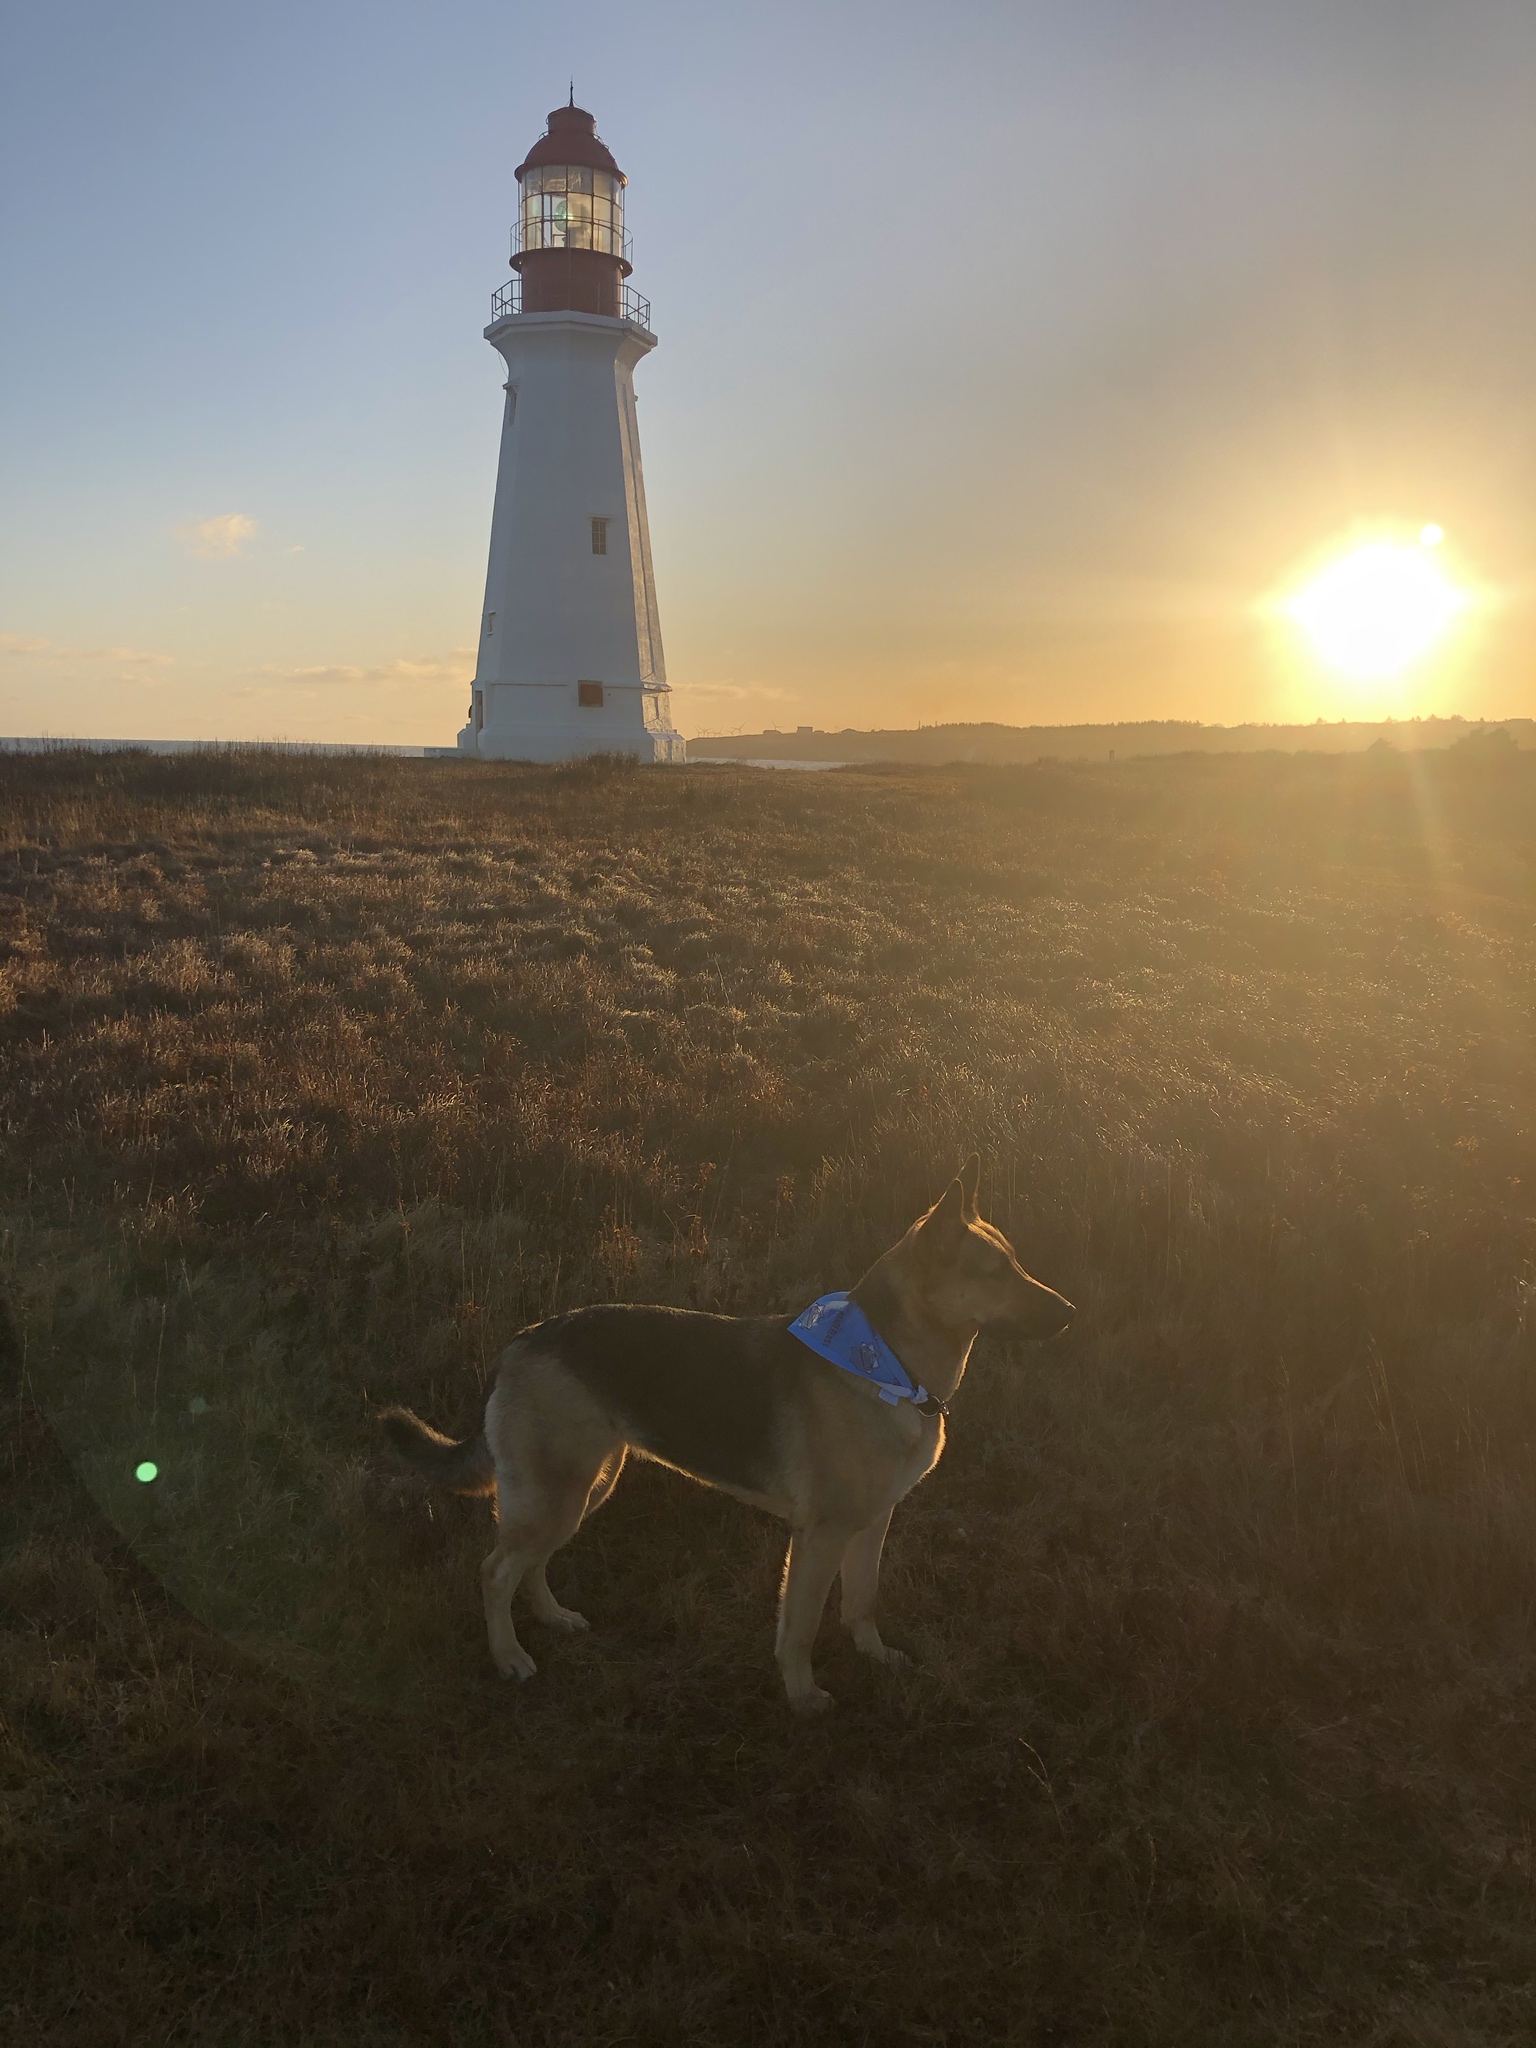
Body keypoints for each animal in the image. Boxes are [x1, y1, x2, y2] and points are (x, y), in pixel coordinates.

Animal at [378, 1155, 1073, 1712]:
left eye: (1015, 1263)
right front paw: (802, 1696)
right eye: (996, 1271)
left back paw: (552, 1617)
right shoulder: (821, 1536)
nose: (1071, 1314)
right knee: (497, 1571)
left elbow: (863, 1601)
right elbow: (800, 1626)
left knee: (532, 1563)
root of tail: (520, 1341)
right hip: (559, 1492)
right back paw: (509, 1656)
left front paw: (875, 1658)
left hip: (584, 1487)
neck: (887, 1362)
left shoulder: (873, 1522)